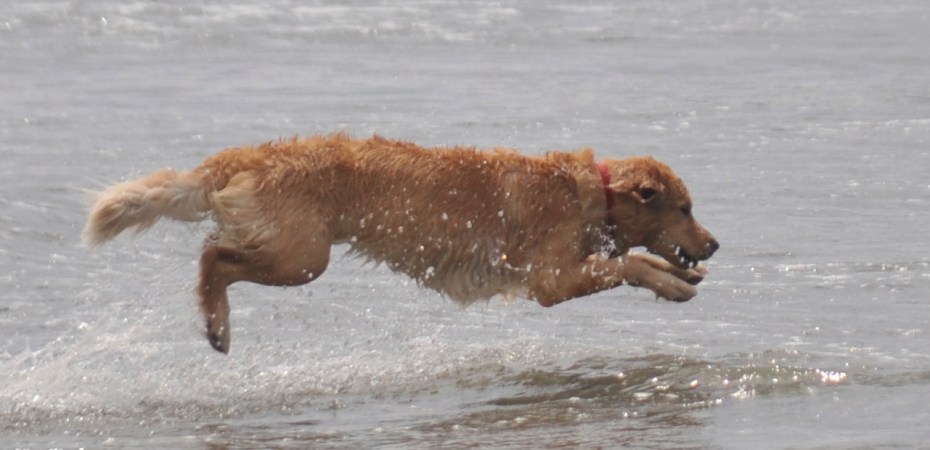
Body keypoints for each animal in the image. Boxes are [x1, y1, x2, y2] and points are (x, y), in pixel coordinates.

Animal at [83, 134, 718, 354]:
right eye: (685, 208)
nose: (714, 244)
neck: (594, 194)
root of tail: (246, 155)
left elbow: (635, 256)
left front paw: (684, 275)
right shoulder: (551, 281)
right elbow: (632, 263)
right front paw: (673, 284)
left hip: (289, 250)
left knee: (216, 249)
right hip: (303, 258)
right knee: (213, 256)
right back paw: (218, 326)